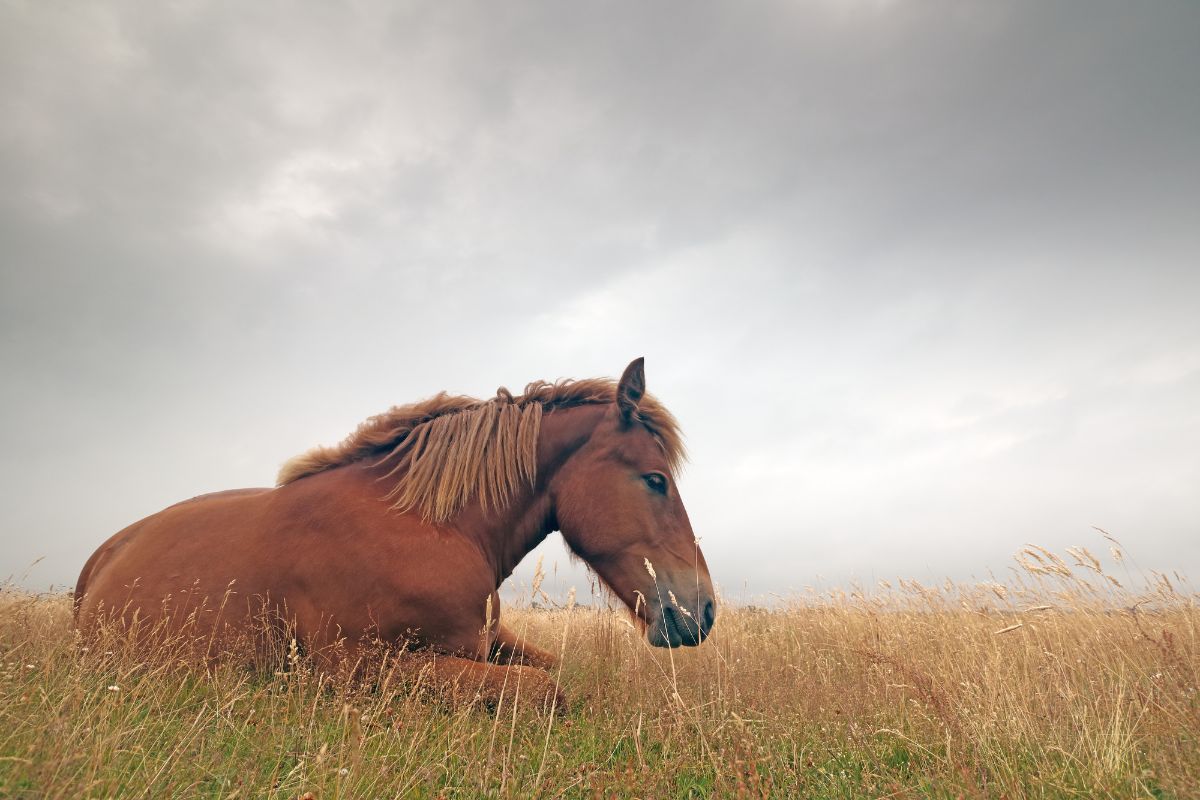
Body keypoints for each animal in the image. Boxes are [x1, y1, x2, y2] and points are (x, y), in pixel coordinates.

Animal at [72, 359, 710, 705]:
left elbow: (554, 669)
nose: (702, 609)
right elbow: (544, 690)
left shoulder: (489, 641)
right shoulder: (357, 668)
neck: (431, 529)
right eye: (655, 480)